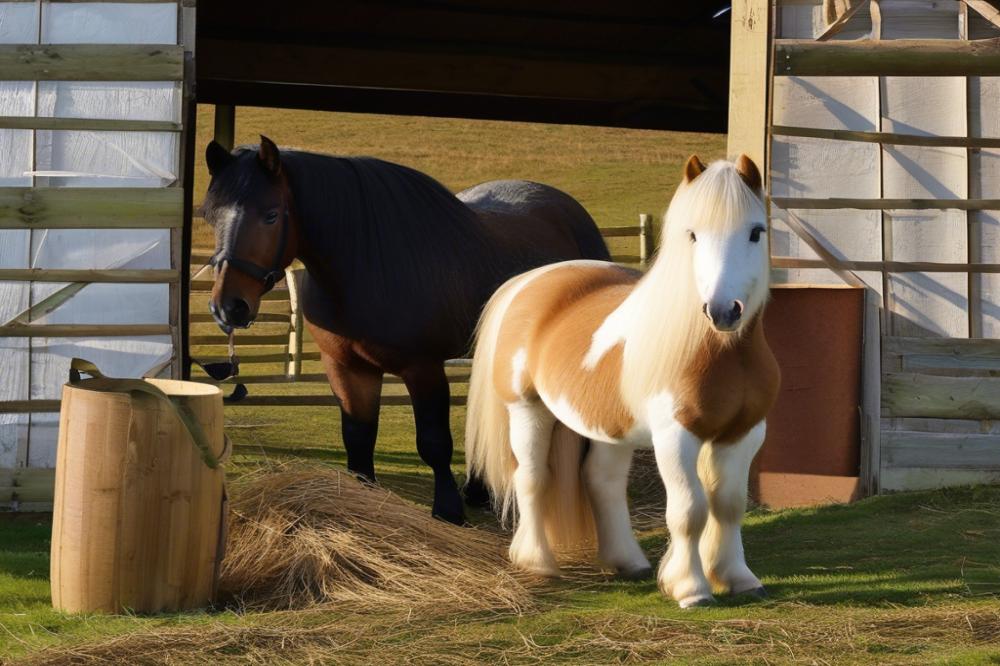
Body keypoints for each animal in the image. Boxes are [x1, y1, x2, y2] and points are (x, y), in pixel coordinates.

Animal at [464, 153, 776, 604]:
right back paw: (538, 562)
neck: (719, 352)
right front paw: (691, 588)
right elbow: (690, 511)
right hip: (527, 410)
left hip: (607, 426)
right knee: (532, 479)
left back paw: (626, 561)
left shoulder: (744, 433)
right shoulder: (675, 437)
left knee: (603, 482)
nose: (722, 311)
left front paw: (737, 578)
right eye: (692, 234)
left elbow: (729, 505)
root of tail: (527, 281)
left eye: (755, 232)